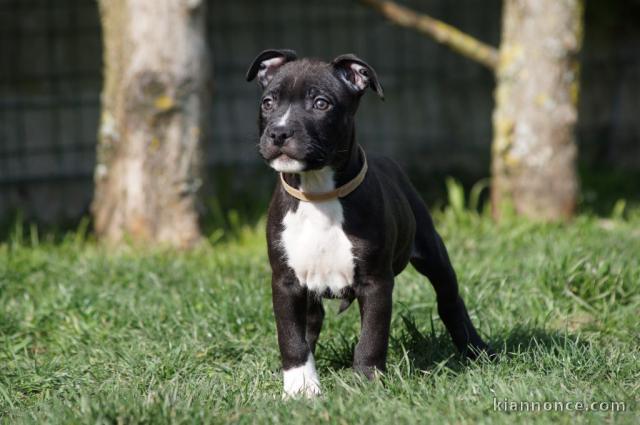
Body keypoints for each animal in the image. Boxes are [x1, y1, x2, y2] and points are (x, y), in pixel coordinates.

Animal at [248, 50, 492, 398]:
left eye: (321, 103)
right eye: (268, 102)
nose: (279, 133)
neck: (319, 193)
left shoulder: (376, 283)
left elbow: (372, 338)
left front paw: (366, 384)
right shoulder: (285, 282)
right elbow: (291, 337)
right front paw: (300, 387)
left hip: (432, 251)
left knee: (449, 299)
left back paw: (476, 350)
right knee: (311, 322)